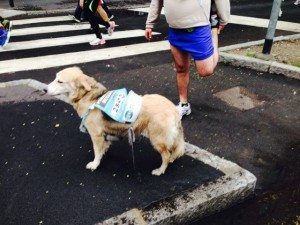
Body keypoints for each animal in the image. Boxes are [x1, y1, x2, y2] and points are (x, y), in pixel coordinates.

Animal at [45, 67, 184, 176]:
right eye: (55, 78)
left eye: (60, 81)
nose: (44, 90)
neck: (87, 96)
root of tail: (175, 110)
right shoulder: (104, 135)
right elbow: (103, 148)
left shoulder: (96, 135)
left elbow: (96, 151)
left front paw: (95, 164)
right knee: (173, 151)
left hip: (157, 139)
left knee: (166, 155)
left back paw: (160, 170)